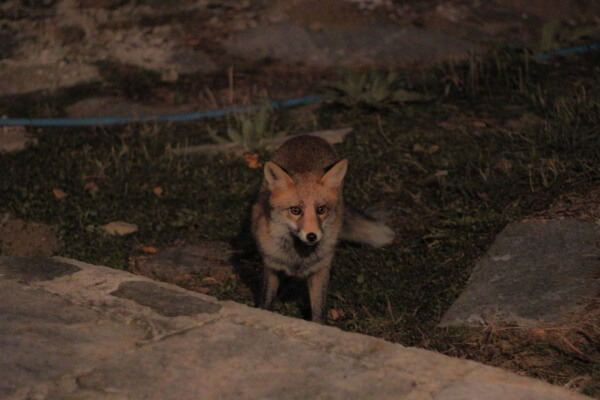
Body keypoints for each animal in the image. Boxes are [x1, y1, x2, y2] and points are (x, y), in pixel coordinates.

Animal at [252, 136, 396, 324]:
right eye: (295, 210)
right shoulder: (271, 265)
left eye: (321, 209)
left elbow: (319, 311)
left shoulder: (321, 269)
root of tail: (307, 136)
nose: (312, 236)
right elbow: (266, 300)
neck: (298, 258)